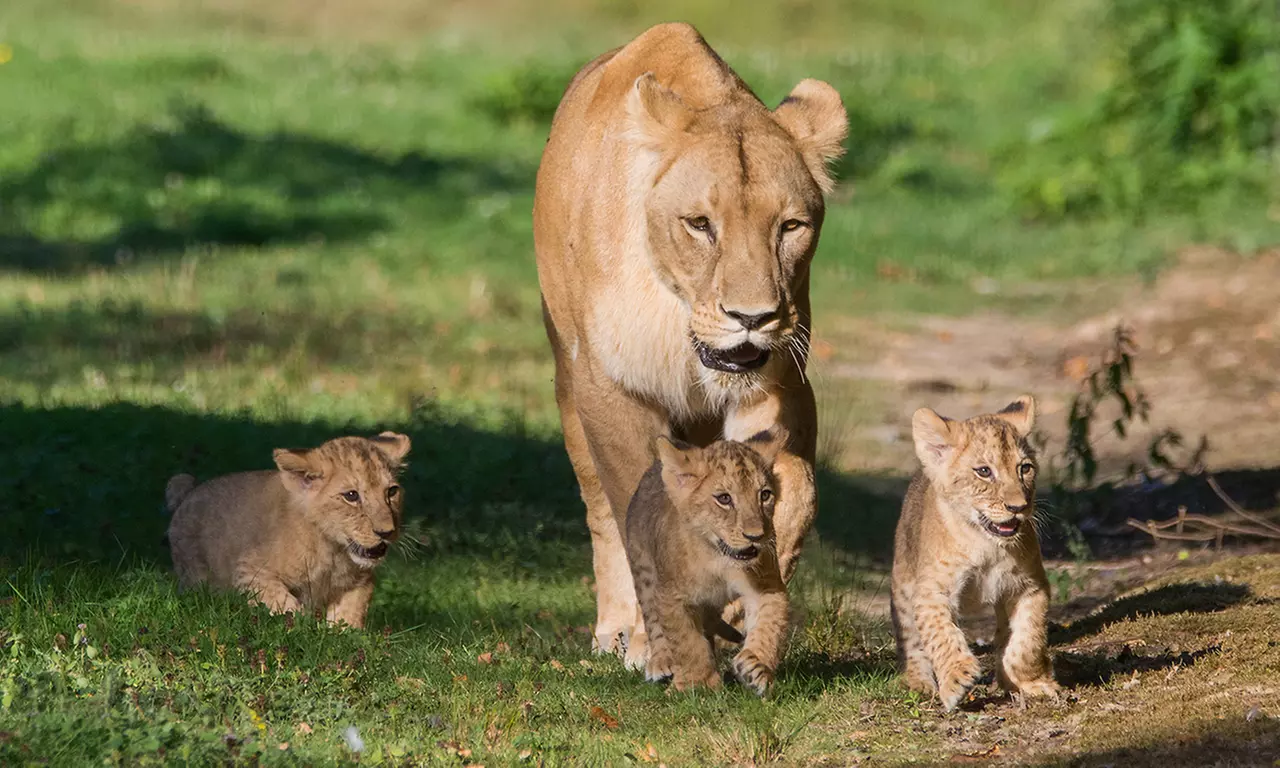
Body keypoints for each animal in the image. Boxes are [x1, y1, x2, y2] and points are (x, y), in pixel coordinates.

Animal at [165, 432, 411, 629]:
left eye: (391, 491)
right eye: (351, 495)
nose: (386, 532)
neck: (333, 552)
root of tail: (188, 492)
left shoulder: (360, 582)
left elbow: (351, 612)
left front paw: (343, 635)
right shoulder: (249, 569)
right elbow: (283, 603)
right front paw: (302, 629)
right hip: (197, 577)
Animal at [532, 22, 847, 660]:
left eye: (791, 227)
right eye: (700, 224)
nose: (753, 316)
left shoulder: (781, 380)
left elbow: (796, 487)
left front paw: (743, 597)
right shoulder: (610, 386)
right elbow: (634, 502)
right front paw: (654, 637)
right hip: (567, 378)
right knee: (599, 508)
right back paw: (617, 629)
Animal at [625, 431, 790, 696]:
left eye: (765, 495)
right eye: (724, 499)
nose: (756, 536)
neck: (720, 559)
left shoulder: (767, 585)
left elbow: (769, 625)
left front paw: (756, 668)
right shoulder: (672, 597)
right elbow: (686, 642)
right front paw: (698, 683)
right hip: (643, 570)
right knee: (652, 619)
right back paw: (660, 662)